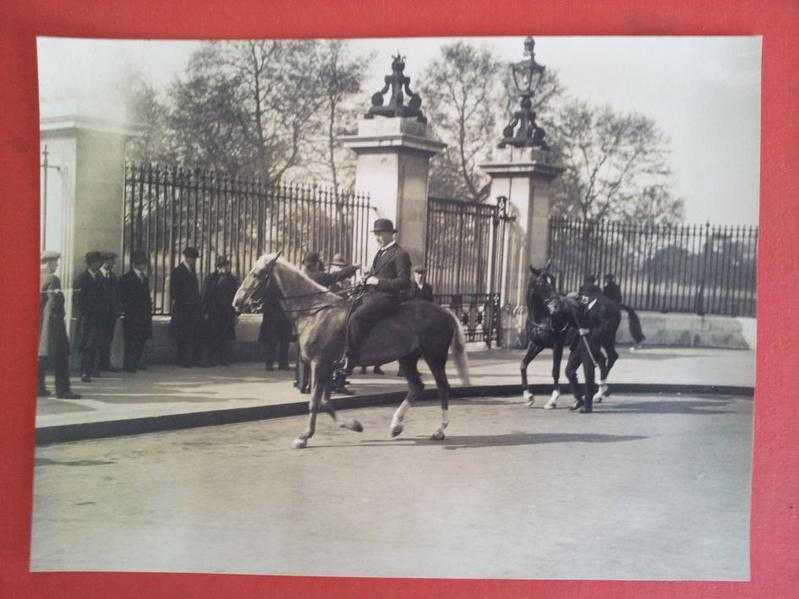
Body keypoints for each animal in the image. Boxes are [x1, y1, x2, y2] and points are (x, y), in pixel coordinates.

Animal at [231, 253, 468, 450]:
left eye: (257, 274)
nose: (236, 302)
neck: (314, 311)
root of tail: (445, 311)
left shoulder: (320, 364)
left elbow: (315, 402)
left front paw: (304, 436)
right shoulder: (326, 366)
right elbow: (325, 402)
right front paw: (354, 425)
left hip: (434, 357)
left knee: (443, 388)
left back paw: (439, 431)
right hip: (407, 359)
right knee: (417, 387)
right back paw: (396, 426)